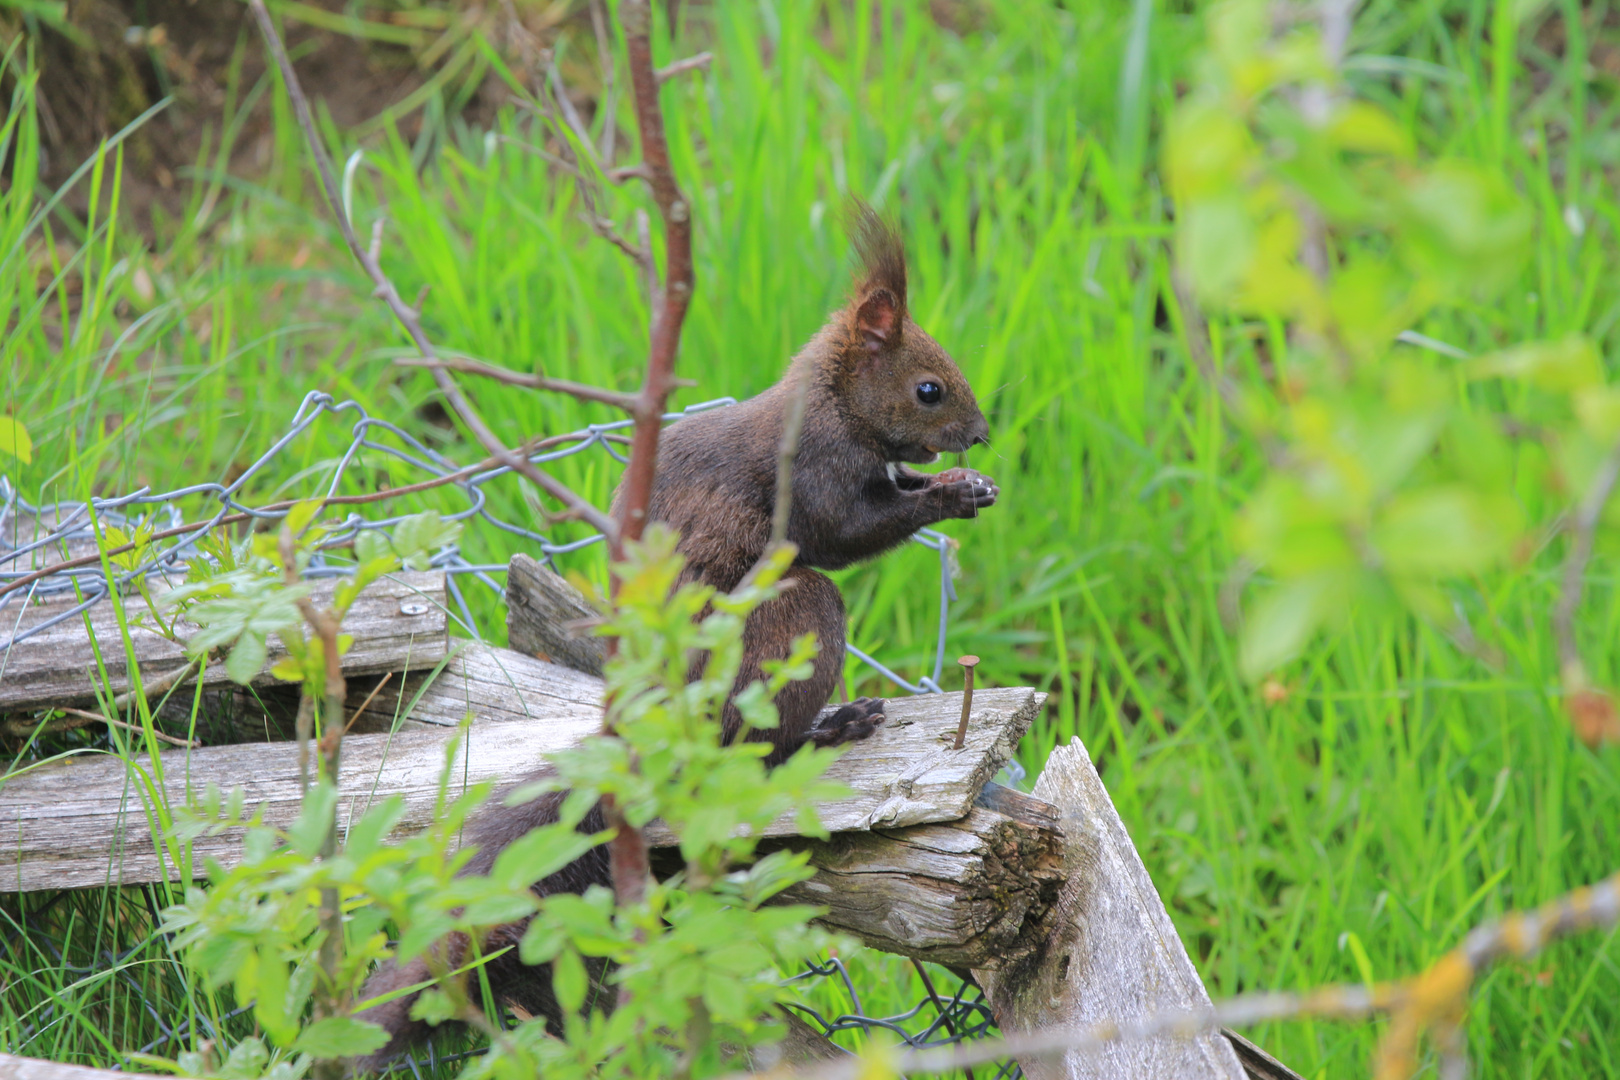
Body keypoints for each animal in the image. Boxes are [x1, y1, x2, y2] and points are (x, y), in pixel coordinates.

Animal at [354, 202, 997, 1062]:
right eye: (929, 389)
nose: (982, 433)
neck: (832, 402)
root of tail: (650, 725)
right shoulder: (813, 471)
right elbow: (844, 533)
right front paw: (953, 495)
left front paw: (962, 482)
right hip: (789, 628)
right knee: (756, 744)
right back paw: (832, 727)